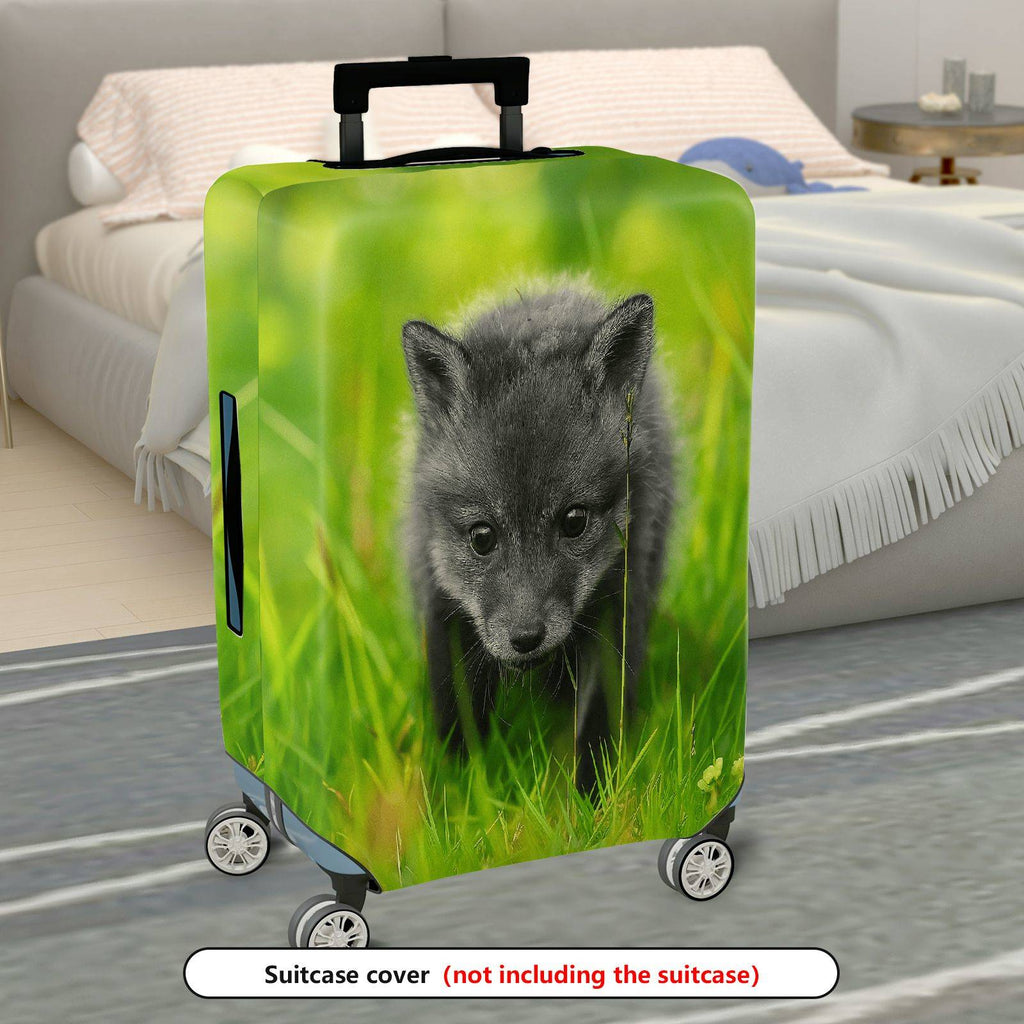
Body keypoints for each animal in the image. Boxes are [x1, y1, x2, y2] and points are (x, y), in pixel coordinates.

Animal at [401, 284, 675, 789]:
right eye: (482, 536)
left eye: (574, 522)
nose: (526, 638)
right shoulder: (442, 605)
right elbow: (459, 734)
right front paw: (461, 800)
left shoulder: (617, 604)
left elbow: (596, 725)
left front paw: (592, 803)